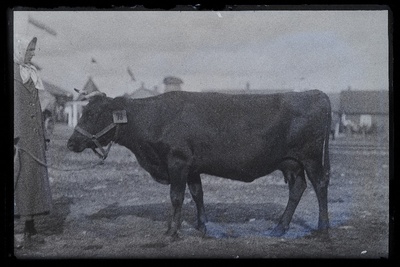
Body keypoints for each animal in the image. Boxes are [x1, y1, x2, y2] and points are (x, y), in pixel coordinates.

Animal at [68, 90, 332, 239]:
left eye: (92, 114)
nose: (71, 142)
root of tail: (315, 93)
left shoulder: (177, 162)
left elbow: (176, 196)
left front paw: (172, 231)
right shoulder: (192, 167)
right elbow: (197, 194)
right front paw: (202, 225)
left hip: (310, 158)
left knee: (320, 185)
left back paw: (323, 228)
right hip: (291, 163)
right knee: (297, 188)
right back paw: (280, 227)